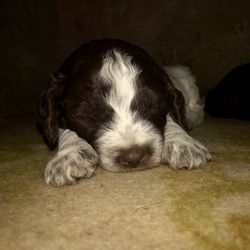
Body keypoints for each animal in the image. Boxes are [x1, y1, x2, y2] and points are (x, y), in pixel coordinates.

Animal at [37, 38, 211, 186]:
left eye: (153, 105)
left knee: (197, 108)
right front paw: (69, 155)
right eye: (86, 115)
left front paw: (183, 143)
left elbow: (171, 118)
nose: (134, 156)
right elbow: (62, 127)